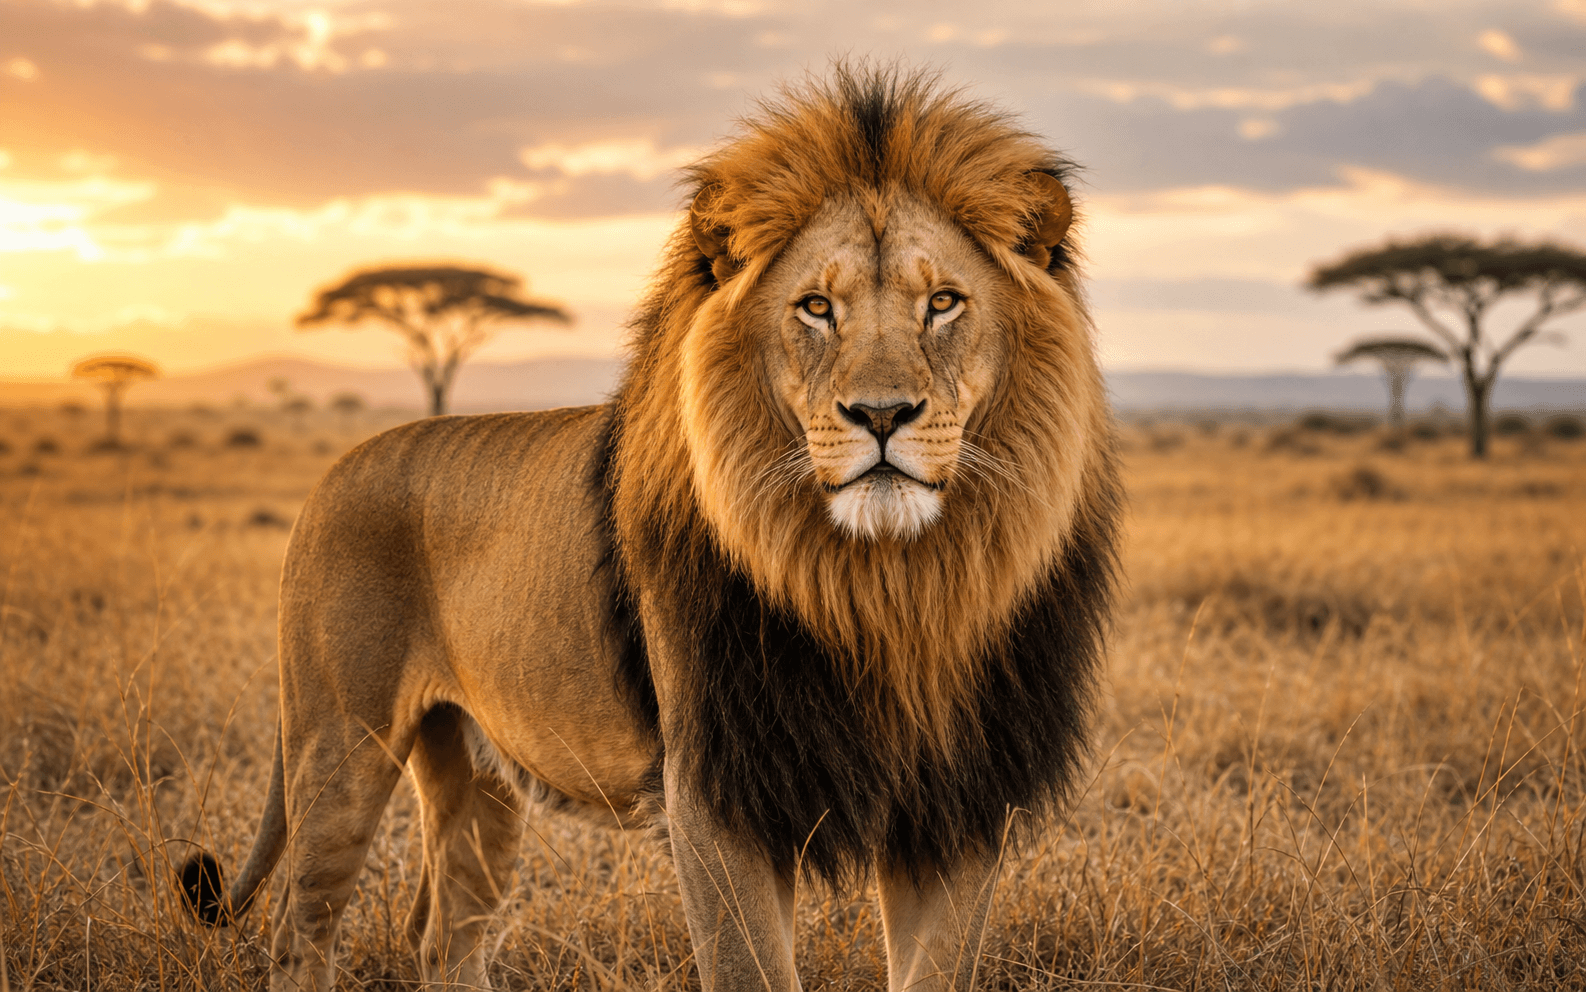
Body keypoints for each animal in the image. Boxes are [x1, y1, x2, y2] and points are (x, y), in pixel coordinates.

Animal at [179, 64, 1121, 992]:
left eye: (945, 303)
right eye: (817, 307)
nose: (881, 414)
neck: (888, 591)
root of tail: (338, 467)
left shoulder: (961, 802)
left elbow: (938, 969)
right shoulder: (714, 790)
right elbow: (750, 971)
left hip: (478, 773)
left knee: (444, 938)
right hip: (340, 745)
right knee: (300, 933)